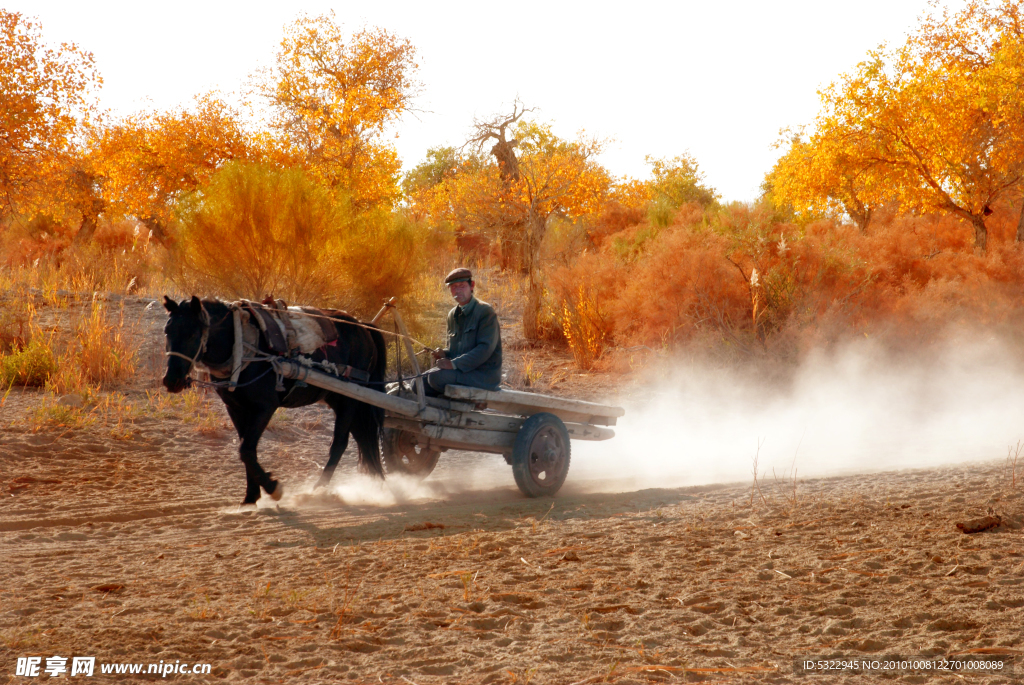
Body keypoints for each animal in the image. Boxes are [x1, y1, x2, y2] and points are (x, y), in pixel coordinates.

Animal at [161, 294, 385, 501]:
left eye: (192, 334)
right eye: (167, 332)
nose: (171, 380)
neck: (242, 343)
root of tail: (363, 327)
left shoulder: (265, 407)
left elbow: (246, 450)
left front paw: (272, 488)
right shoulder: (235, 408)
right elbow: (246, 449)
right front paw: (251, 498)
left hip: (350, 398)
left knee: (340, 443)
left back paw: (319, 489)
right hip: (340, 398)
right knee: (362, 438)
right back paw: (377, 483)